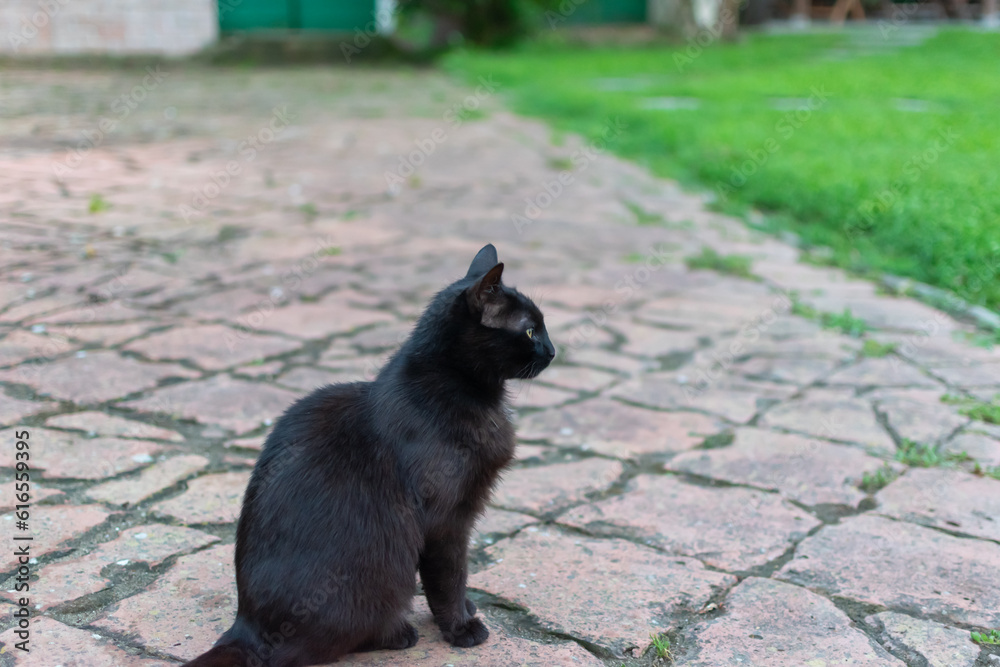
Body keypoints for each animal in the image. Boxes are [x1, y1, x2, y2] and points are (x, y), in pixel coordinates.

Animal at [186, 245, 556, 667]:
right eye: (531, 330)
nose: (554, 350)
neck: (464, 392)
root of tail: (245, 628)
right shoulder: (446, 520)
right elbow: (450, 577)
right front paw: (461, 627)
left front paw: (466, 610)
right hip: (384, 572)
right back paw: (398, 633)